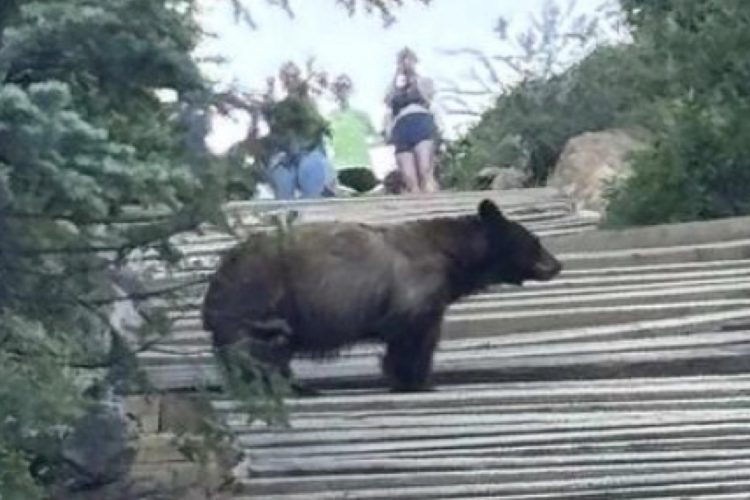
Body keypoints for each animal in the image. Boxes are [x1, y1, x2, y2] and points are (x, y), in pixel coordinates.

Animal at [202, 199, 562, 393]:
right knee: (258, 351)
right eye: (536, 241)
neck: (451, 254)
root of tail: (218, 277)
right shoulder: (414, 288)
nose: (558, 264)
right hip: (261, 300)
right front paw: (414, 381)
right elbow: (410, 336)